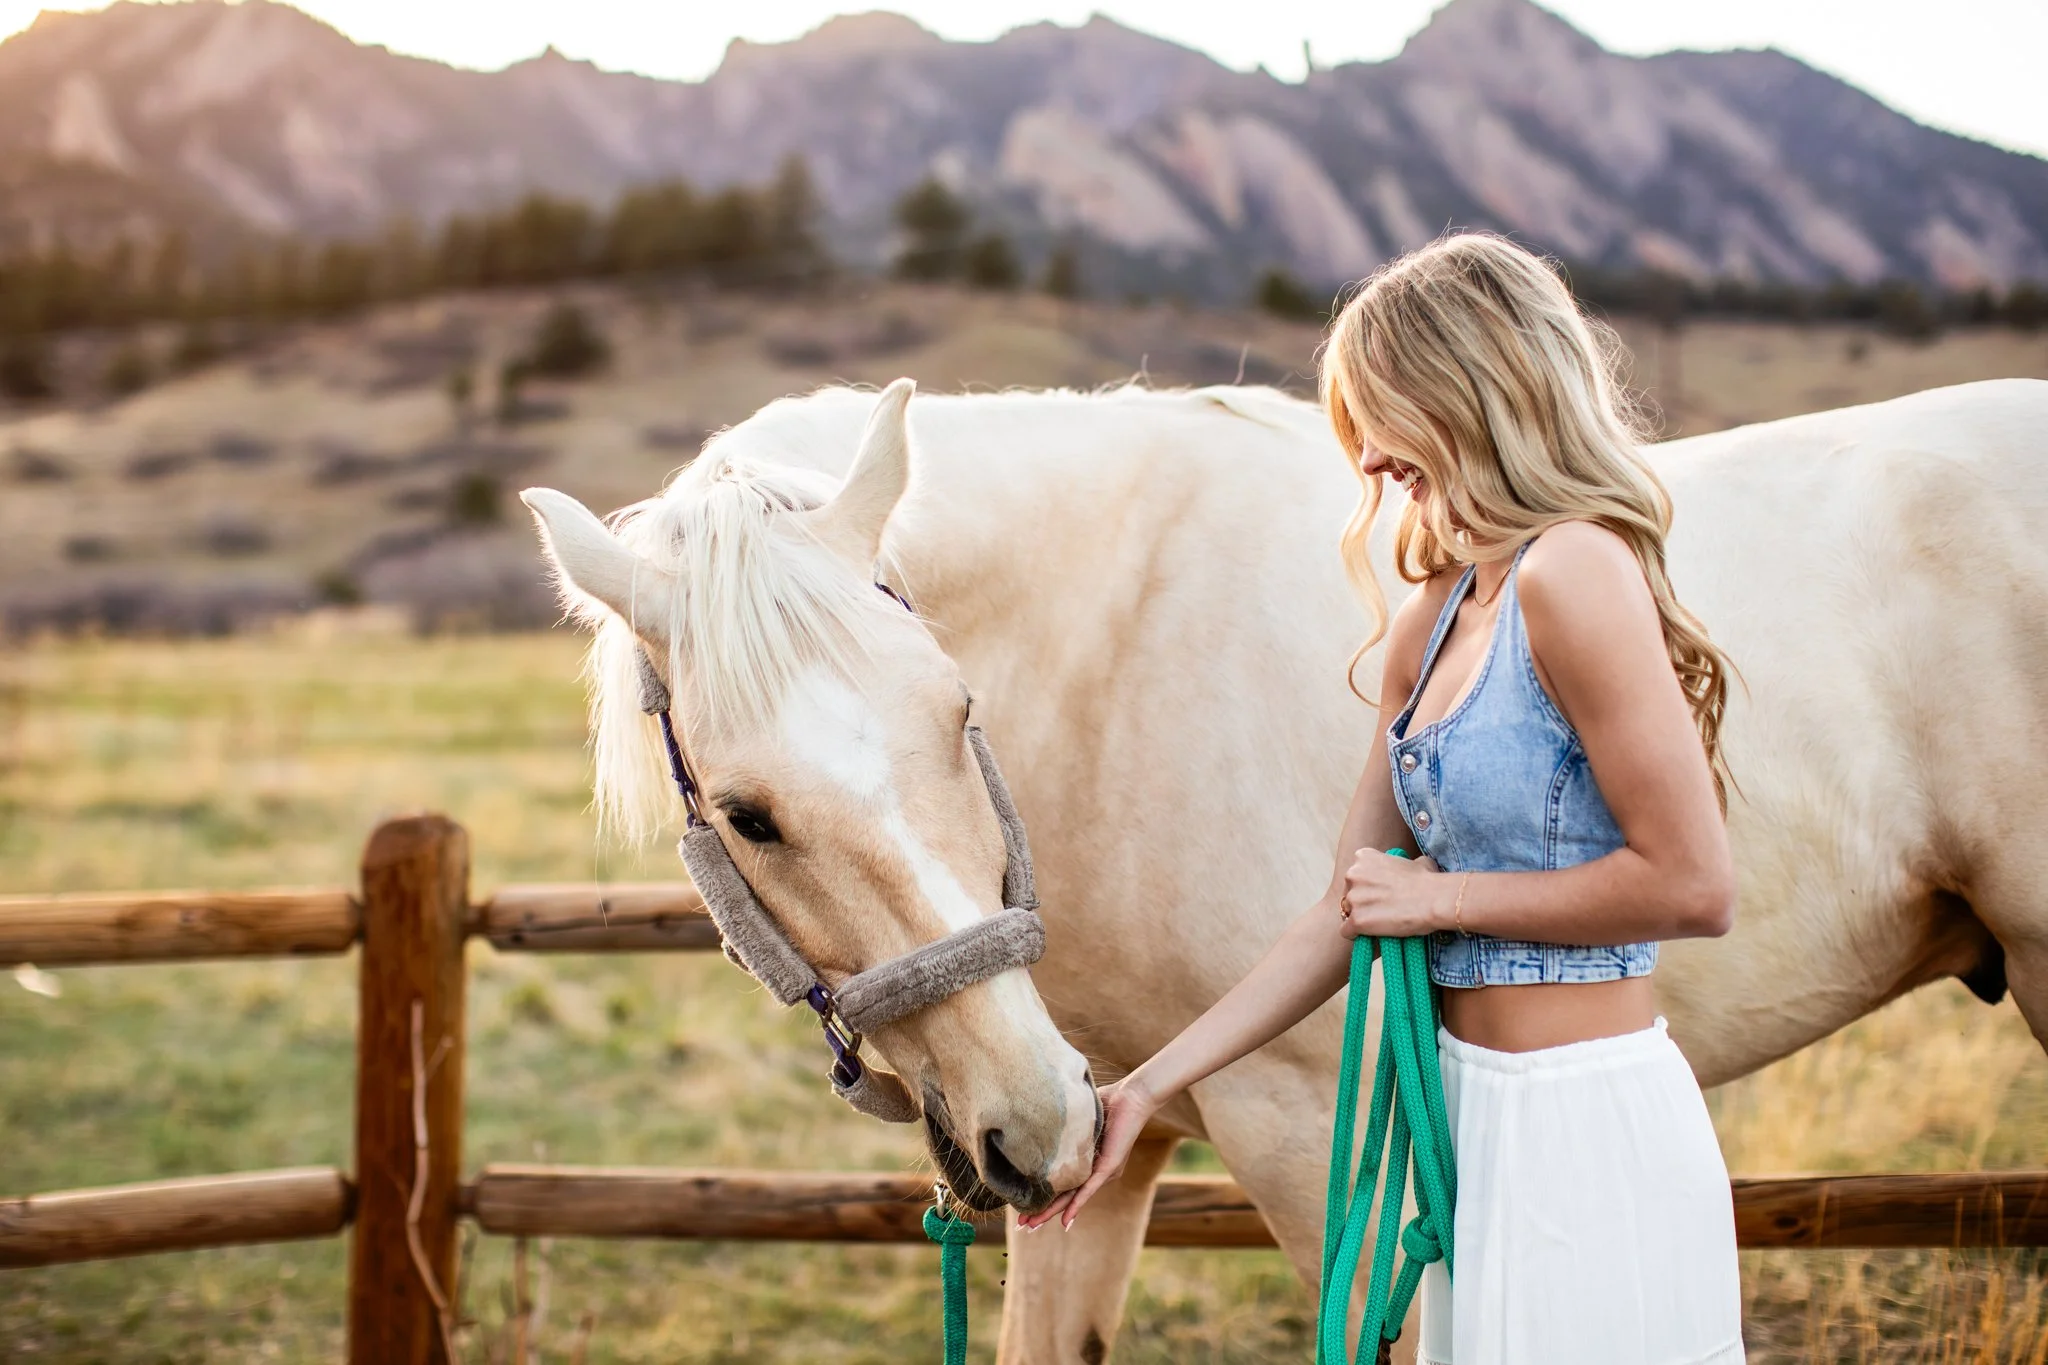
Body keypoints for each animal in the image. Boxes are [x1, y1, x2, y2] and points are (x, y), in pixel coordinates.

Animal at [521, 375, 2048, 1363]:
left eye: (956, 712)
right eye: (750, 814)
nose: (1022, 1115)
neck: (1111, 652)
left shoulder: (1312, 1142)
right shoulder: (1102, 1151)